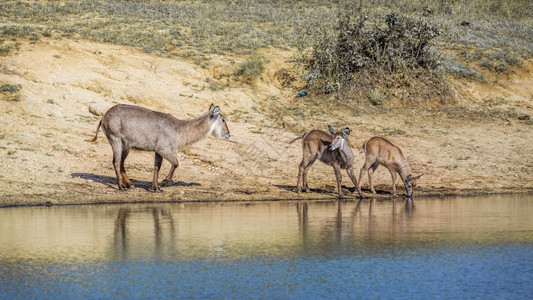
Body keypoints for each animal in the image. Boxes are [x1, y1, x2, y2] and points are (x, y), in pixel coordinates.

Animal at [91, 103, 229, 192]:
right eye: (223, 119)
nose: (228, 134)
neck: (178, 129)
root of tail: (103, 116)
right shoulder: (163, 149)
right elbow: (176, 162)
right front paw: (165, 181)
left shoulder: (158, 151)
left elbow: (157, 167)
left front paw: (155, 187)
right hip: (116, 140)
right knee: (116, 162)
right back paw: (121, 187)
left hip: (126, 146)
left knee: (121, 163)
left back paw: (130, 185)